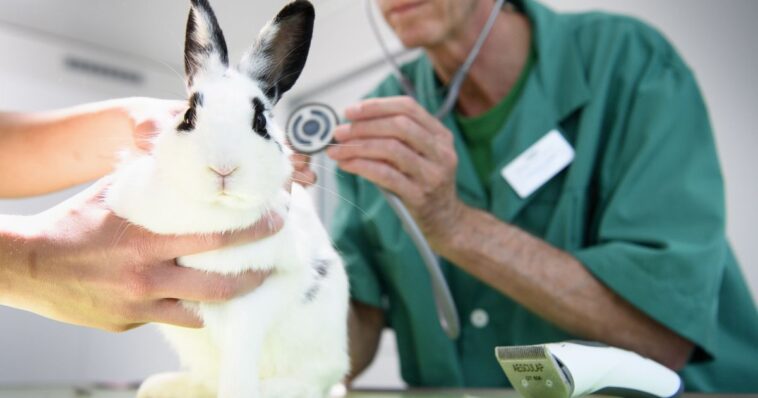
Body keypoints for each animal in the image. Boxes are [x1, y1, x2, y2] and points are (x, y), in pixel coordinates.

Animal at [105, 1, 352, 396]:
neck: (214, 211)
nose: (223, 168)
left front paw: (237, 388)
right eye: (189, 115)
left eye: (260, 122)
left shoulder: (260, 295)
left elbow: (239, 358)